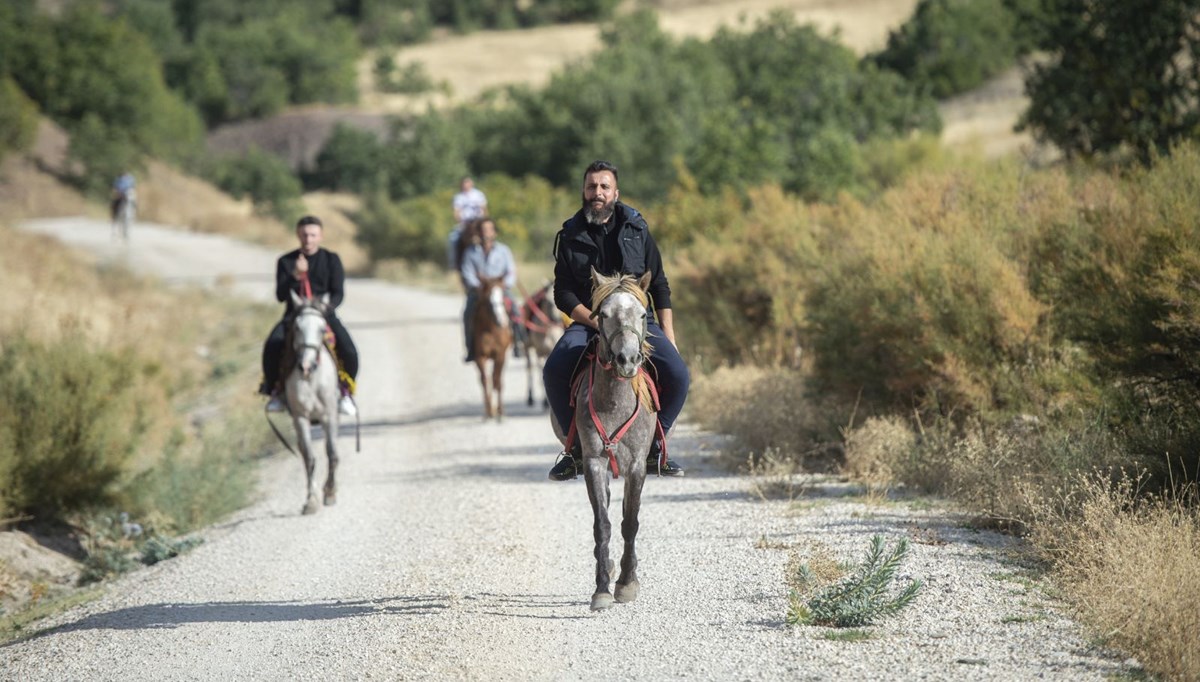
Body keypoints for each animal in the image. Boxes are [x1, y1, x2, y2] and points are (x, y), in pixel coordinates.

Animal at [280, 290, 338, 513]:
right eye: (297, 327)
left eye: (322, 329)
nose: (306, 366)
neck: (312, 379)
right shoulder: (301, 418)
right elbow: (310, 457)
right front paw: (311, 500)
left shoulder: (329, 415)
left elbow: (332, 453)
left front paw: (330, 492)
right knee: (304, 453)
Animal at [468, 274, 511, 417]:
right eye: (487, 299)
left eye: (502, 296)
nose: (501, 320)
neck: (490, 330)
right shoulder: (480, 357)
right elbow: (485, 380)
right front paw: (489, 411)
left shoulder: (500, 355)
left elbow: (497, 381)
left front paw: (500, 412)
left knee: (497, 379)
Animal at [520, 280, 566, 408]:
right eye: (547, 301)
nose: (556, 320)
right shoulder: (539, 352)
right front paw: (545, 402)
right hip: (528, 348)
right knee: (529, 368)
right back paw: (530, 397)